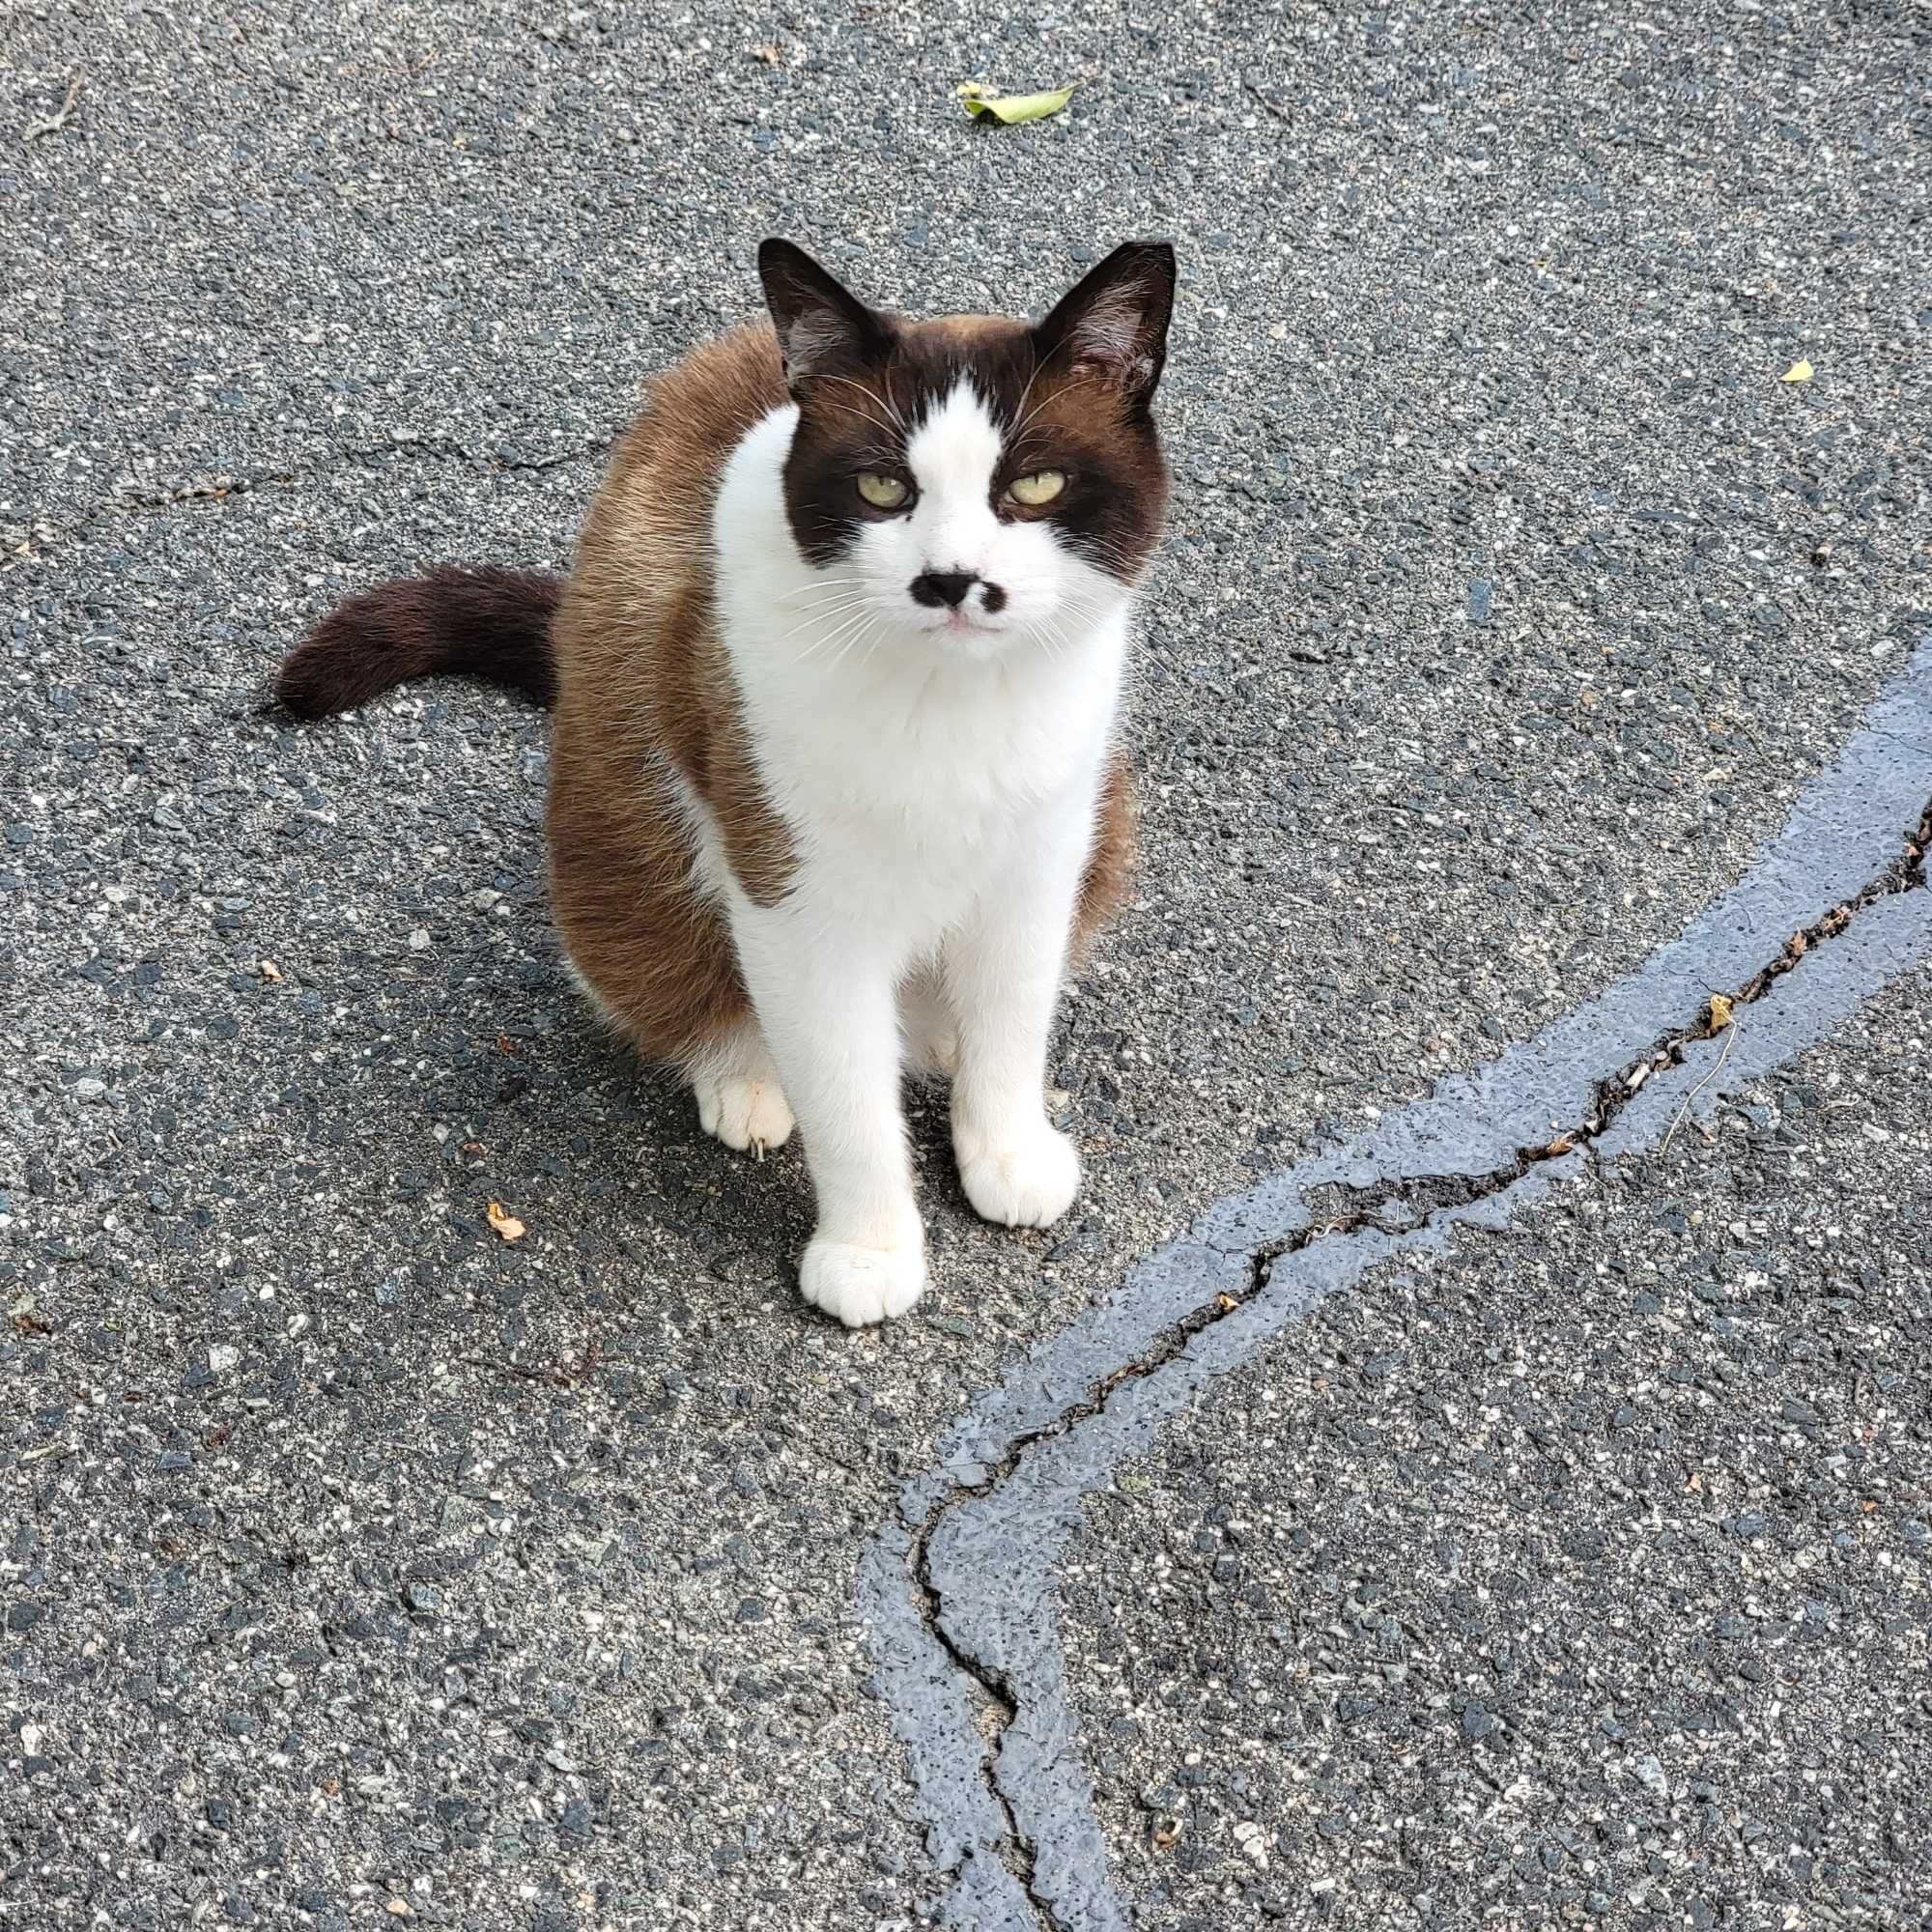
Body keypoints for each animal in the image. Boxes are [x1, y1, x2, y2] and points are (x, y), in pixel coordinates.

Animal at [278, 238, 1167, 1329]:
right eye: (883, 490)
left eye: (1035, 485)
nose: (953, 581)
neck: (949, 704)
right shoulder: (795, 900)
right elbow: (846, 1097)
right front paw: (869, 1249)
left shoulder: (1039, 861)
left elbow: (1010, 1017)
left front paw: (1001, 1146)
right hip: (623, 841)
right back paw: (743, 1075)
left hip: (1106, 823)